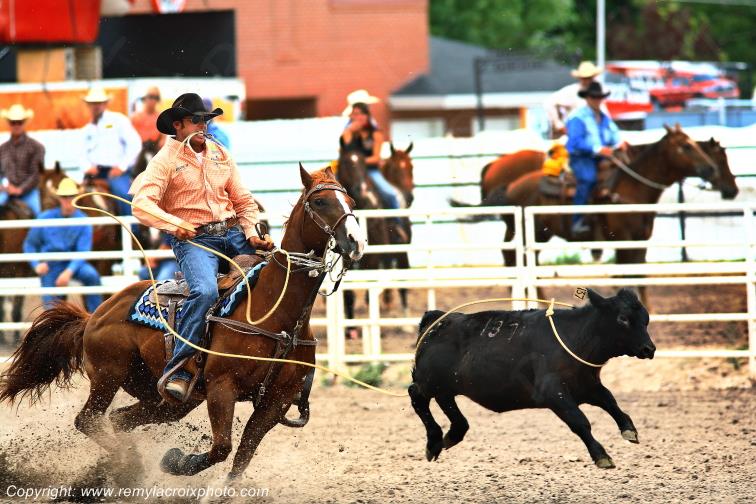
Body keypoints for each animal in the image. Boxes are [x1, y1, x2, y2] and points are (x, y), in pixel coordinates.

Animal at [409, 288, 655, 469]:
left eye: (645, 319)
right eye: (623, 319)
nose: (649, 349)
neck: (574, 338)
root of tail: (436, 321)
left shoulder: (587, 385)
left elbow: (611, 401)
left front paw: (628, 429)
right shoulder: (553, 392)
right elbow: (580, 421)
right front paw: (601, 455)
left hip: (445, 385)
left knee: (448, 405)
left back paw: (449, 437)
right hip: (428, 381)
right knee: (417, 396)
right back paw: (434, 441)